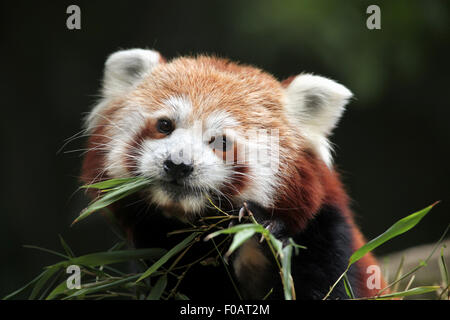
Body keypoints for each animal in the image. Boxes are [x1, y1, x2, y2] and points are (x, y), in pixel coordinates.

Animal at [81, 48, 386, 300]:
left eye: (221, 142)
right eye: (165, 125)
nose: (178, 164)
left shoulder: (325, 237)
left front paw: (260, 231)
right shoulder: (158, 254)